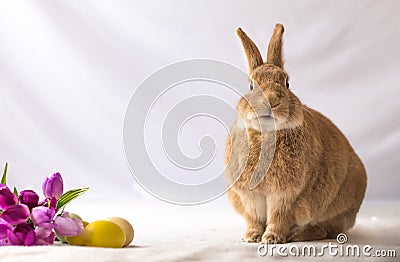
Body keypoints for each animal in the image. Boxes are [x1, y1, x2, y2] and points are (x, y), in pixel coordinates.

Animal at [223, 23, 368, 245]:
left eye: (287, 83)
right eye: (251, 85)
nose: (271, 101)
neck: (267, 135)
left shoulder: (285, 196)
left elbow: (278, 218)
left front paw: (271, 238)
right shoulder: (250, 197)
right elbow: (254, 218)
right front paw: (251, 237)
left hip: (336, 206)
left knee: (326, 229)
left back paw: (299, 234)